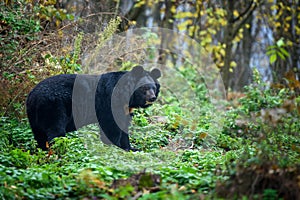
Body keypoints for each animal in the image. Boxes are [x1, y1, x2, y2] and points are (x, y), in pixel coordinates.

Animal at [27, 66, 161, 152]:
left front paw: (131, 148)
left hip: (36, 117)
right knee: (55, 131)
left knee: (40, 135)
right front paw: (116, 147)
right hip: (54, 108)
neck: (126, 96)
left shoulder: (126, 108)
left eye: (154, 88)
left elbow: (123, 125)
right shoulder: (109, 102)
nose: (152, 98)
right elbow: (111, 125)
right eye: (144, 88)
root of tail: (33, 96)